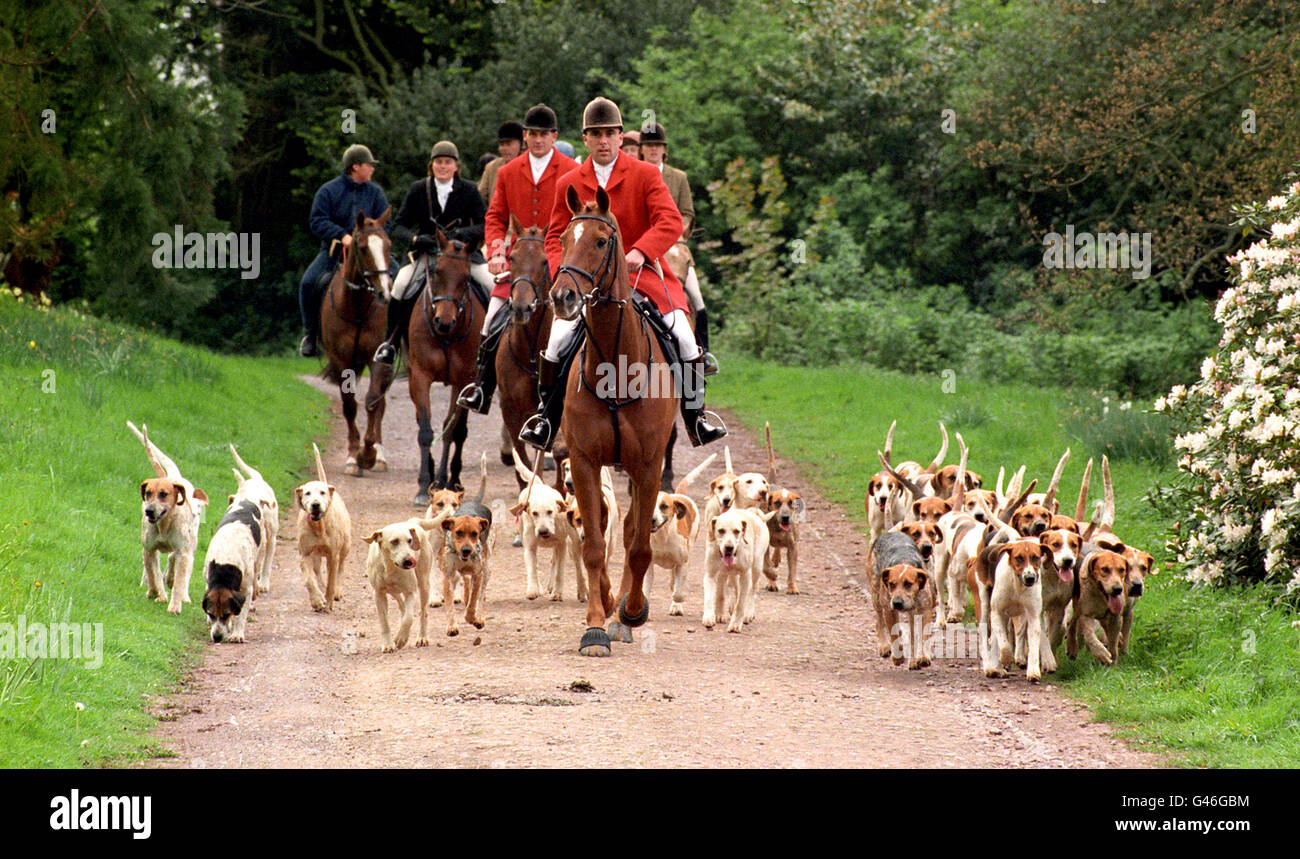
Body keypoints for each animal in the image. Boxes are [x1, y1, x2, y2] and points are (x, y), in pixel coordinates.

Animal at [319, 207, 390, 475]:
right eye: (362, 247)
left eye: (388, 246)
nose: (384, 292)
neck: (357, 307)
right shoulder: (340, 360)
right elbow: (349, 406)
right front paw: (352, 457)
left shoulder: (377, 357)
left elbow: (371, 402)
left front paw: (368, 453)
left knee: (380, 403)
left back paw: (380, 456)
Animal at [405, 227, 483, 506]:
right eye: (437, 270)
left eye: (466, 276)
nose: (444, 322)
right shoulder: (420, 376)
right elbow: (425, 429)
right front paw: (423, 484)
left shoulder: (462, 381)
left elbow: (451, 431)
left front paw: (441, 480)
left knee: (460, 431)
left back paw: (454, 479)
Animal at [548, 185, 676, 657]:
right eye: (562, 239)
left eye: (601, 241)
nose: (563, 297)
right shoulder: (584, 461)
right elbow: (593, 544)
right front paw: (595, 626)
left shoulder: (649, 464)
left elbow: (638, 546)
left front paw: (632, 611)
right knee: (603, 528)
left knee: (630, 531)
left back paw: (624, 609)